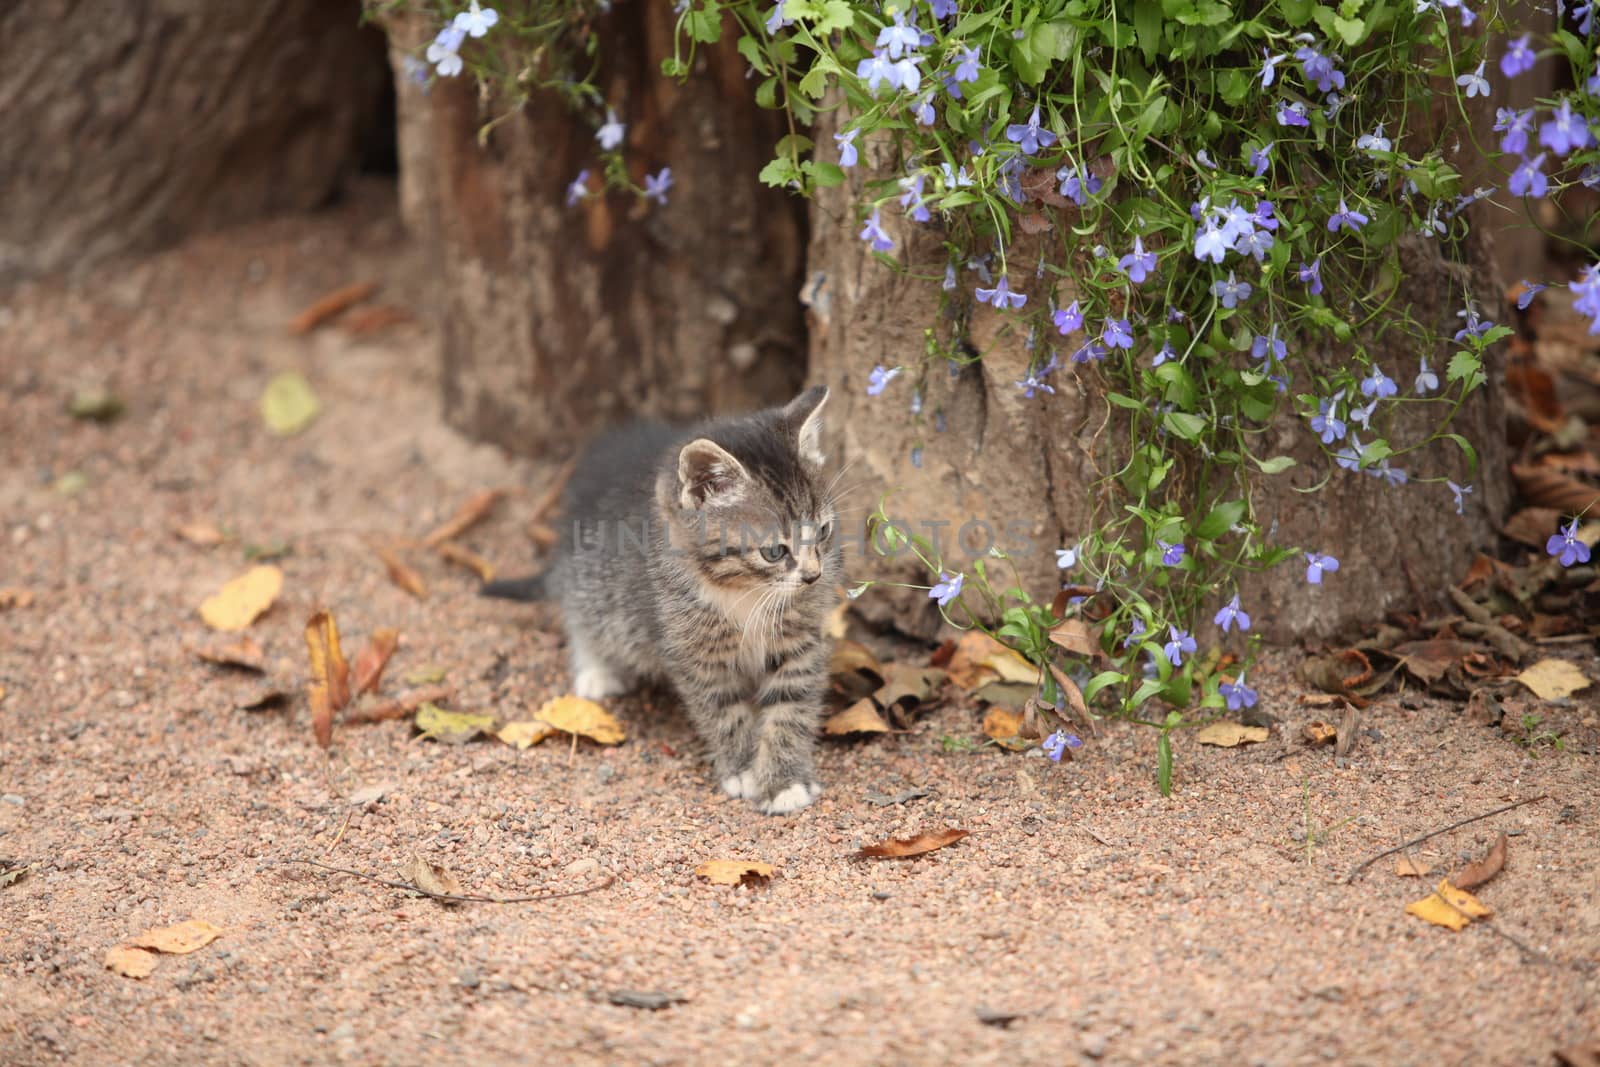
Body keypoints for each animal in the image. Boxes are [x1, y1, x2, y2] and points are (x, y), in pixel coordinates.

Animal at [483, 388, 838, 812]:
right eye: (774, 552)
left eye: (823, 531)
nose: (814, 576)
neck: (745, 592)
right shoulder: (693, 651)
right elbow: (722, 710)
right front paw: (740, 767)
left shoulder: (800, 640)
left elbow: (791, 705)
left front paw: (784, 781)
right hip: (595, 584)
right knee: (580, 612)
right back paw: (596, 670)